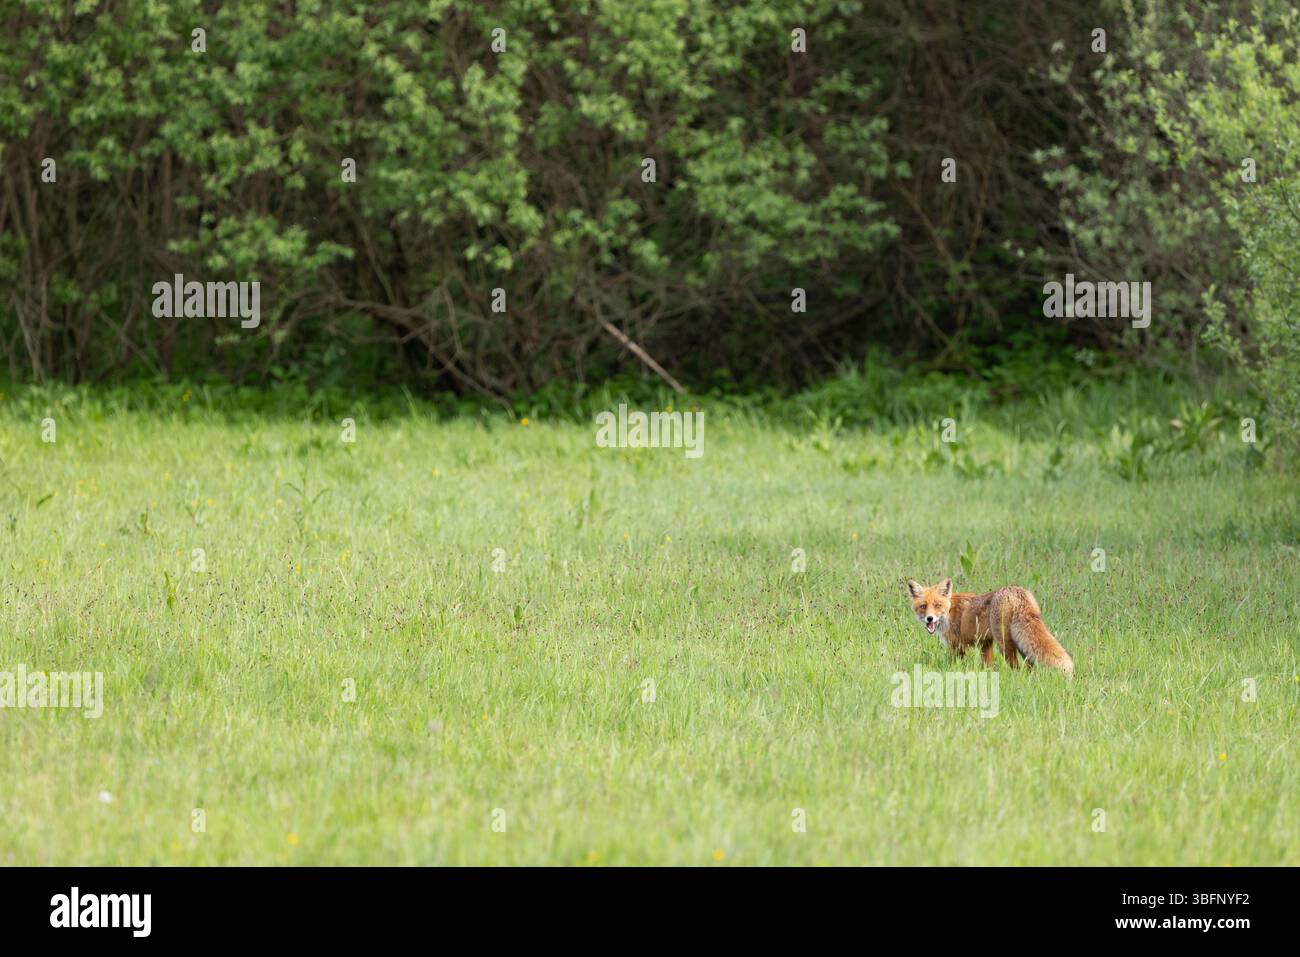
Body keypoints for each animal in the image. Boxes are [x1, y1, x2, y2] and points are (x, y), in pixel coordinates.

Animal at [905, 577, 1073, 676]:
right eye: (923, 606)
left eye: (937, 605)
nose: (929, 618)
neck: (949, 612)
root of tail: (1016, 592)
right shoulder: (985, 643)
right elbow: (987, 666)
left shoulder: (957, 646)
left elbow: (954, 665)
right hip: (1021, 643)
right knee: (1029, 663)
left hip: (1004, 642)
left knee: (1016, 666)